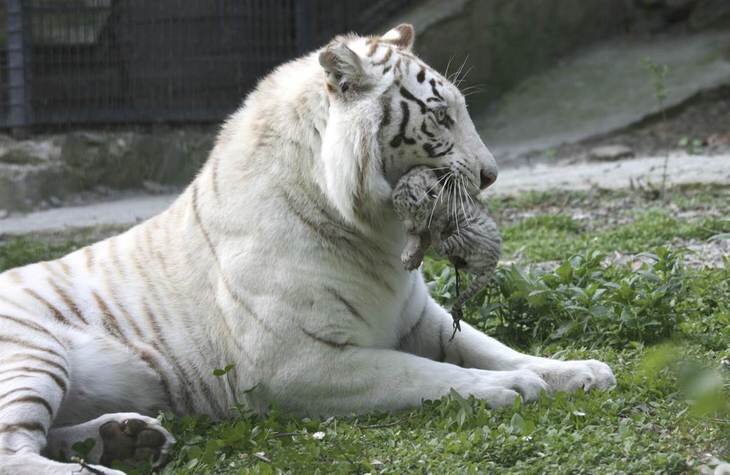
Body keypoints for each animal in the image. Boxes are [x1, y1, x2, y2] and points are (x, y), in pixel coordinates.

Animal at [0, 24, 616, 474]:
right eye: (442, 117)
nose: (491, 175)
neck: (372, 234)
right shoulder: (297, 363)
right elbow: (419, 373)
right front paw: (512, 387)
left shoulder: (419, 316)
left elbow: (494, 347)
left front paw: (579, 370)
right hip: (30, 352)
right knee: (14, 453)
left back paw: (128, 438)